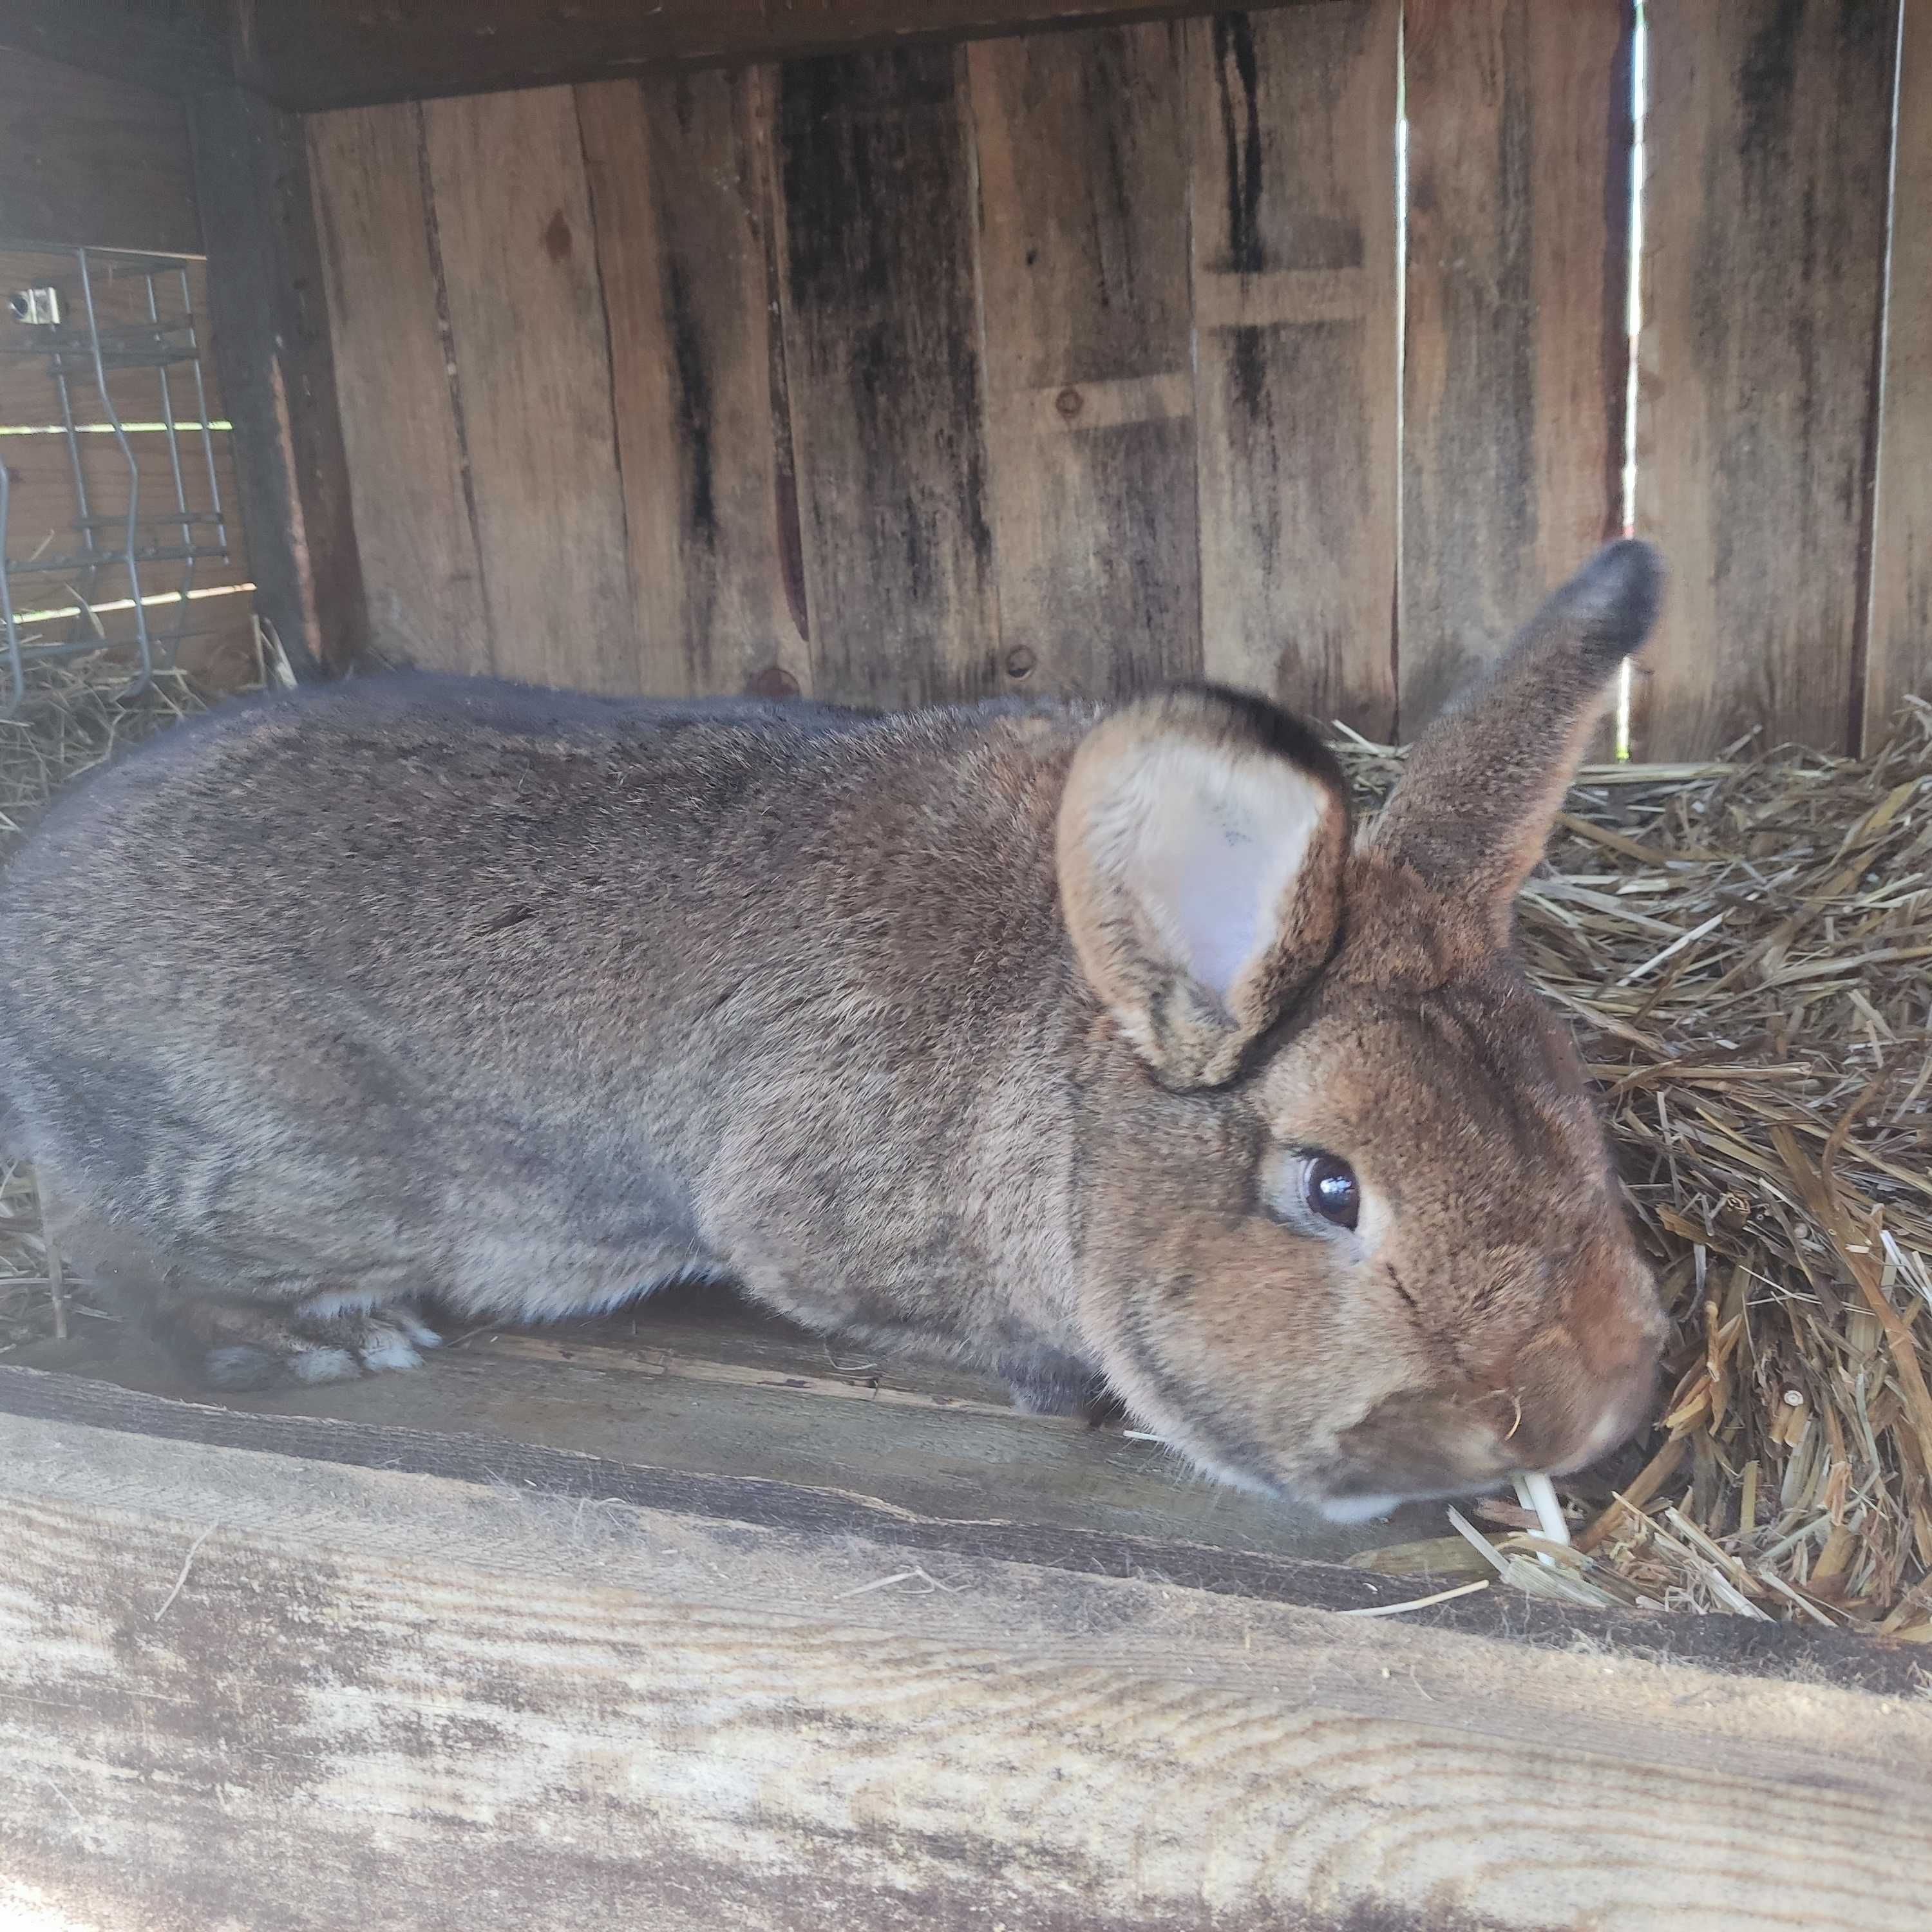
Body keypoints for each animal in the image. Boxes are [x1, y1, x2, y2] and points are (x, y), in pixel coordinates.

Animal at [0, 537, 1669, 1515]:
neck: (1073, 1071)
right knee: (124, 1269)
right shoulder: (807, 1233)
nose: (1572, 1415)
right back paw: (321, 1341)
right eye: (1329, 1191)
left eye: (1571, 1111)